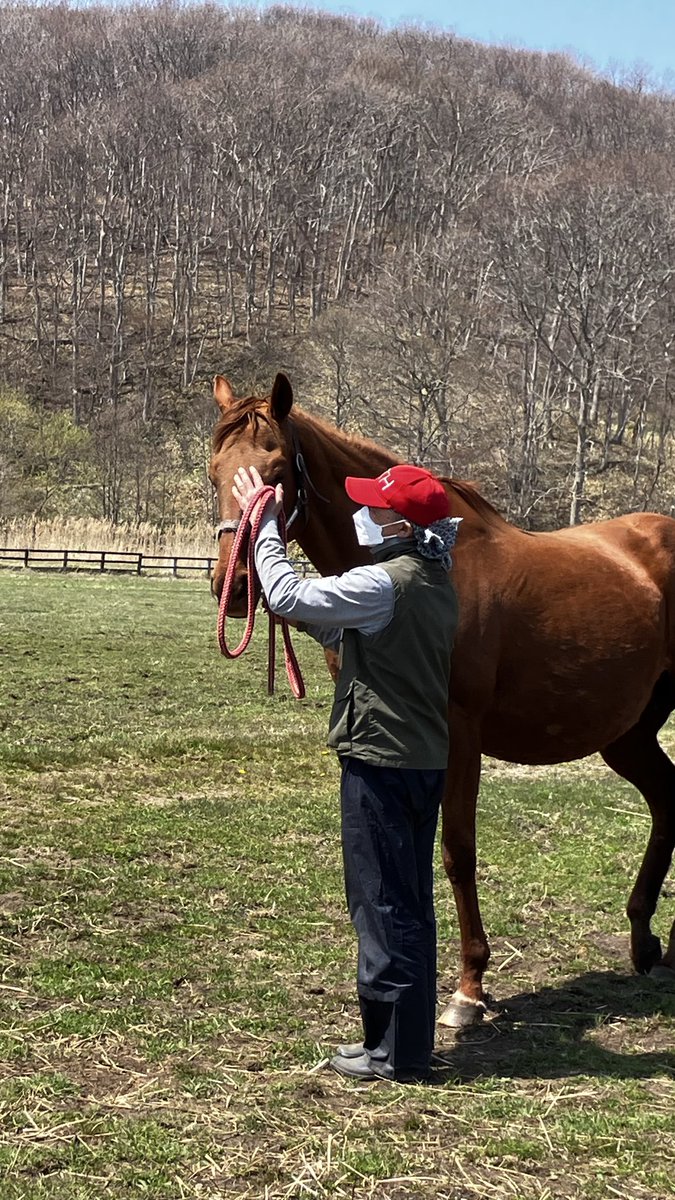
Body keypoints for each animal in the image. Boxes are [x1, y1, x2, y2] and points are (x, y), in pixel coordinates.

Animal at [209, 371, 675, 1028]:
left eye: (274, 474)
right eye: (213, 472)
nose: (237, 588)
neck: (434, 561)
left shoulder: (460, 734)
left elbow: (457, 850)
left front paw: (469, 988)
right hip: (628, 734)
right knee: (669, 803)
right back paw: (647, 943)